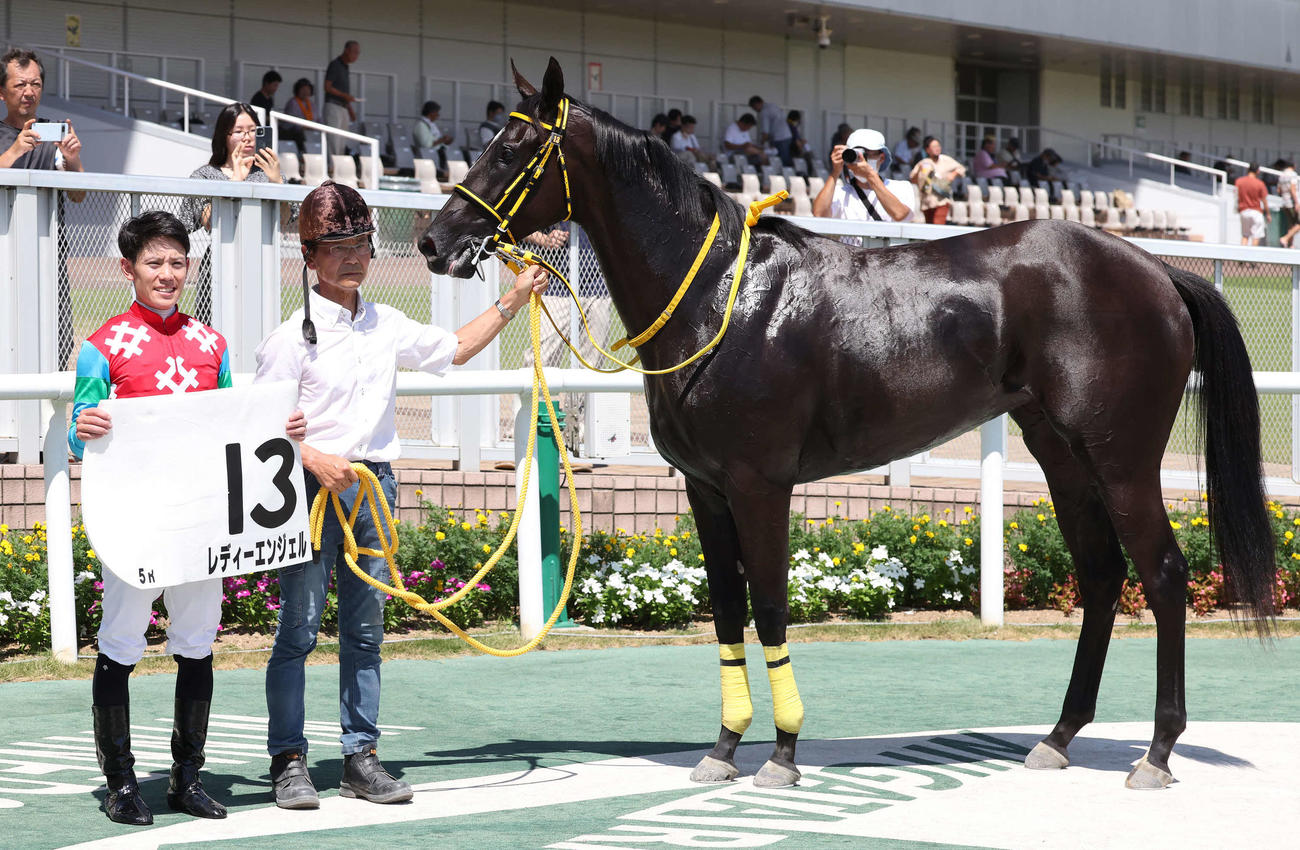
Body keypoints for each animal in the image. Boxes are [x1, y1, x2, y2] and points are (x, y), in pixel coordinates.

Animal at [419, 58, 1276, 790]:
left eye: (515, 147)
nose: (435, 239)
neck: (720, 299)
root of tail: (1157, 269)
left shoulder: (760, 485)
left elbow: (768, 603)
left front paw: (782, 754)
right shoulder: (704, 489)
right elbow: (726, 607)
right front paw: (724, 749)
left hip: (1122, 458)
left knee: (1163, 574)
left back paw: (1156, 753)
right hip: (1061, 455)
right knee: (1101, 577)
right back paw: (1058, 738)